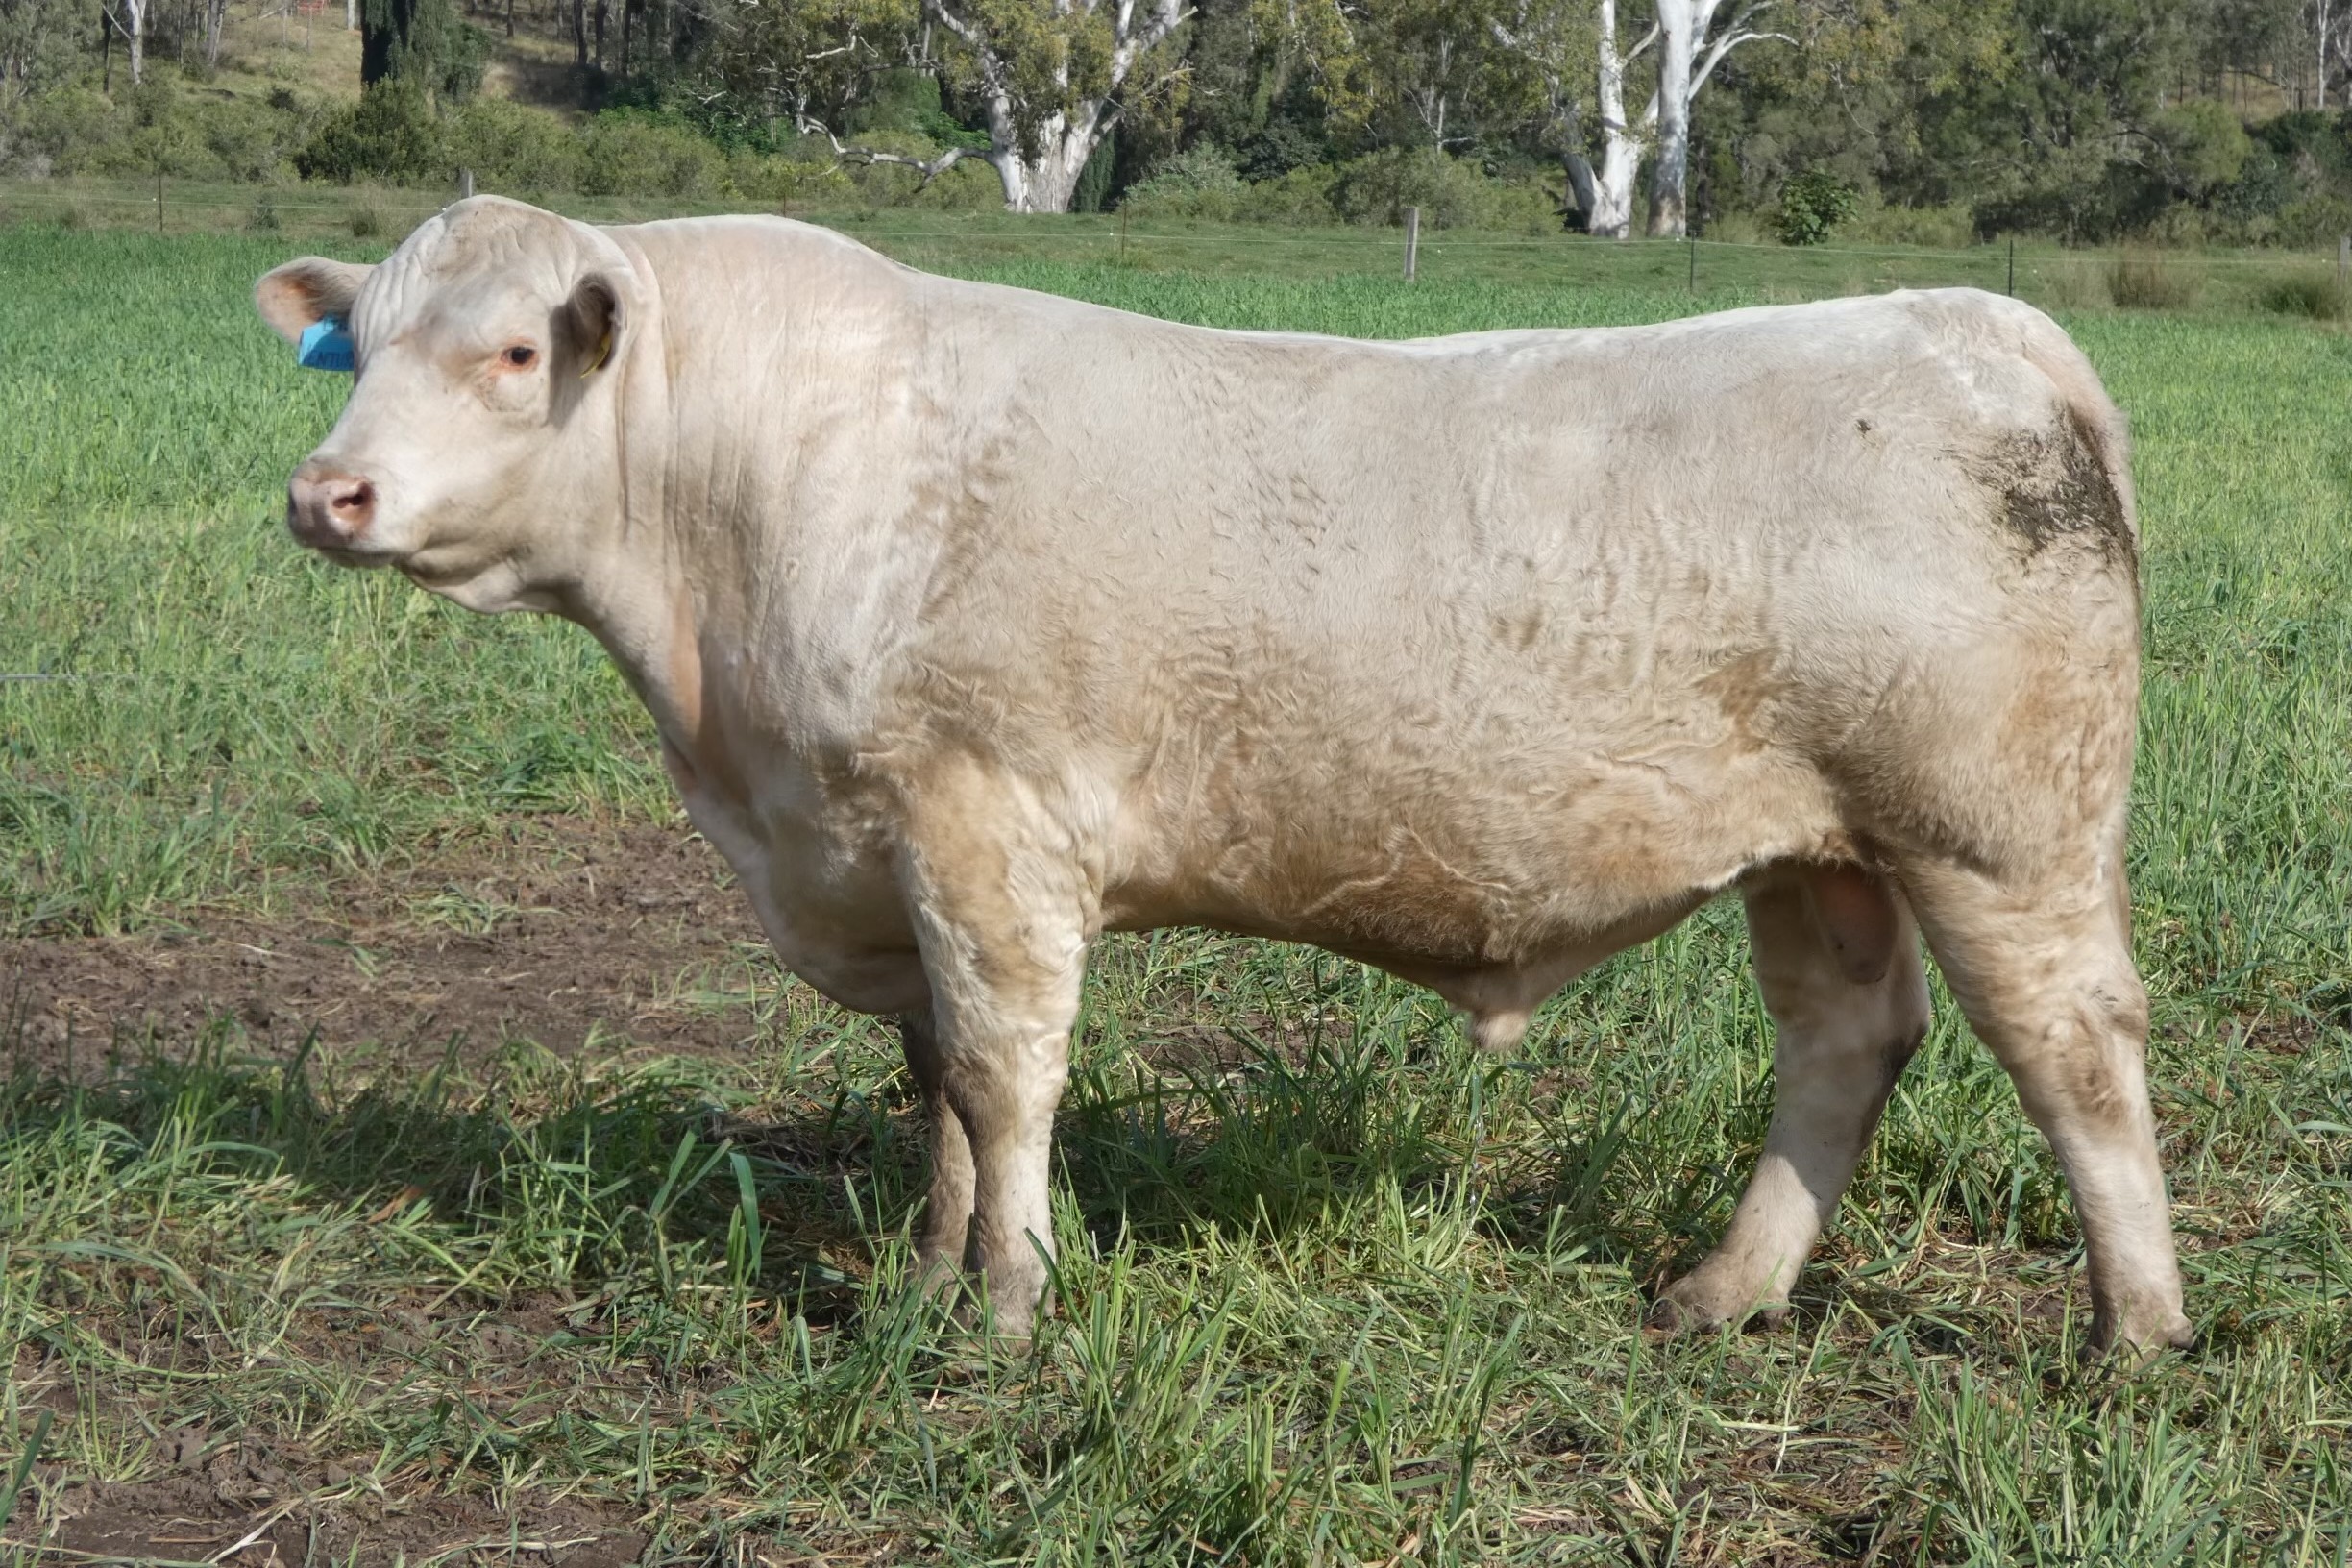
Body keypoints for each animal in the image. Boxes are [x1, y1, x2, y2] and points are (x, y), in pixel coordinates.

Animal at [253, 196, 2193, 1356]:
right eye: (361, 345)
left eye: (514, 350)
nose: (325, 492)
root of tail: (1962, 323)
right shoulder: (883, 853)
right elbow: (936, 1083)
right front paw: (931, 1275)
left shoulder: (983, 825)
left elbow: (1004, 1074)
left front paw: (1010, 1309)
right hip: (1820, 850)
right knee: (1845, 1046)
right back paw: (1725, 1291)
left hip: (1995, 831)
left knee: (2078, 1054)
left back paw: (2136, 1326)